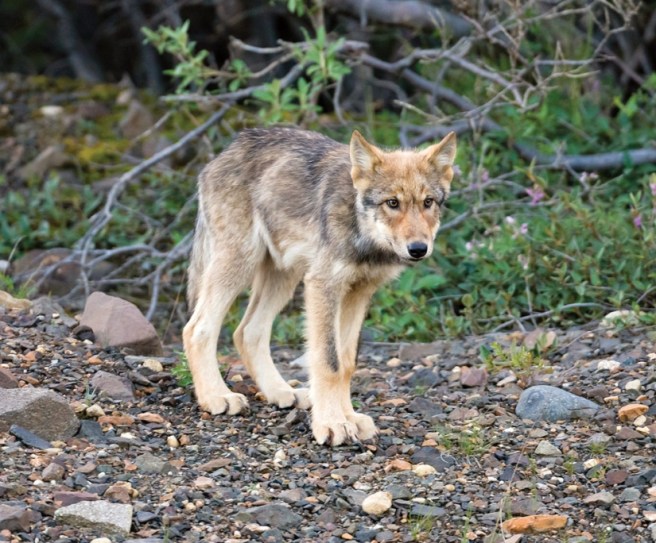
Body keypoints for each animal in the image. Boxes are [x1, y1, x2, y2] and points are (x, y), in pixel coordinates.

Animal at [183, 127, 457, 446]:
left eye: (428, 202)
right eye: (392, 203)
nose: (418, 249)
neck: (360, 230)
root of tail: (223, 154)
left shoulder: (358, 293)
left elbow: (346, 363)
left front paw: (349, 418)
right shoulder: (324, 286)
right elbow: (329, 362)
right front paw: (331, 424)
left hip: (284, 276)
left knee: (247, 332)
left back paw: (281, 392)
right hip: (240, 264)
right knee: (196, 329)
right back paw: (216, 397)